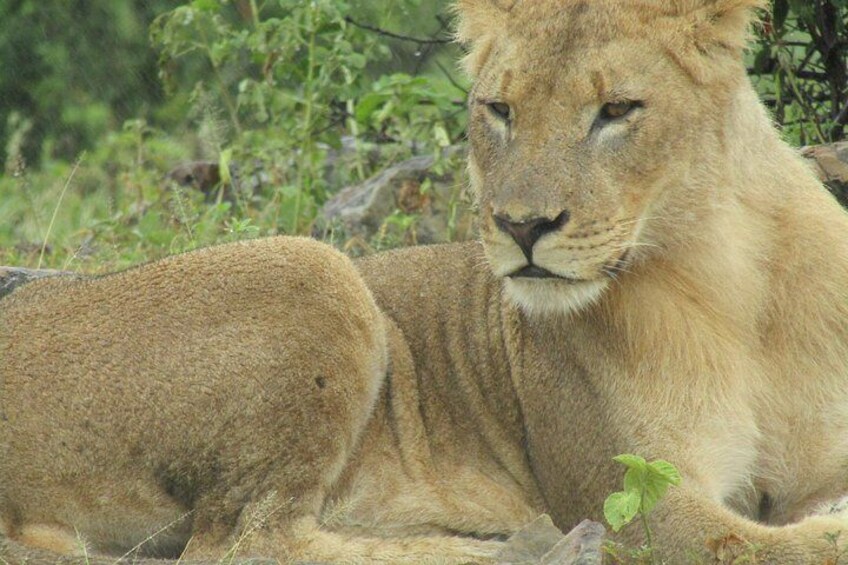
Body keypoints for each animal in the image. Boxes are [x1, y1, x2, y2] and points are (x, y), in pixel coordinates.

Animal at [4, 0, 848, 563]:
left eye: (617, 109)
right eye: (499, 109)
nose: (521, 226)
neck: (733, 281)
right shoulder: (635, 499)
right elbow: (766, 542)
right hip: (314, 268)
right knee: (246, 542)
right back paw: (516, 544)